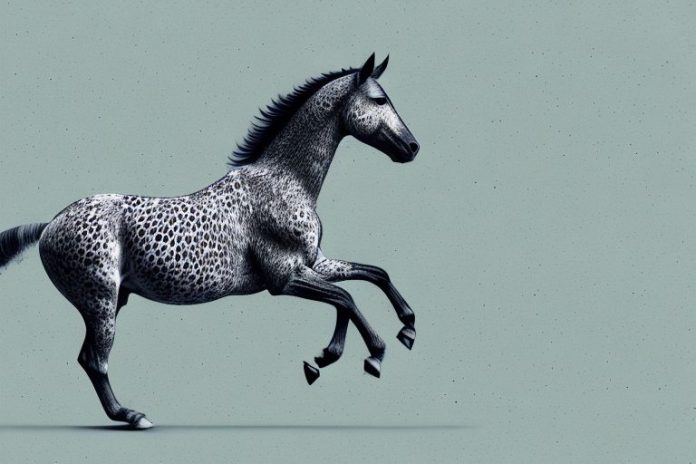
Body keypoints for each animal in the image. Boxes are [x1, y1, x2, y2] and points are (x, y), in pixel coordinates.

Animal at [0, 54, 420, 429]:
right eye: (379, 100)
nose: (413, 147)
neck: (283, 182)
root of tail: (49, 225)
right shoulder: (284, 279)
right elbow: (347, 298)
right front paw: (374, 355)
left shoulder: (314, 263)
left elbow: (370, 277)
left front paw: (383, 336)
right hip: (99, 301)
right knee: (96, 360)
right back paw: (132, 416)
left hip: (112, 300)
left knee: (88, 359)